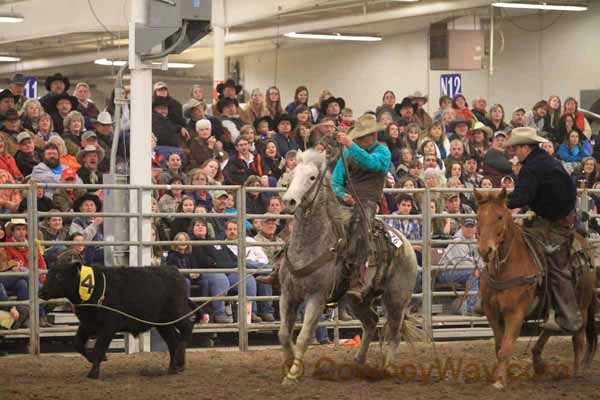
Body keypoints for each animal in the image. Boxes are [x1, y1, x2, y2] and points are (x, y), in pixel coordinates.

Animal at [278, 148, 414, 384]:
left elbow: (304, 336)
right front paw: (290, 361)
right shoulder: (288, 293)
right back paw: (358, 361)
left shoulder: (316, 297)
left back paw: (387, 368)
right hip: (356, 299)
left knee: (394, 333)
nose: (289, 201)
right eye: (293, 173)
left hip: (396, 299)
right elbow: (284, 334)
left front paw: (293, 373)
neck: (310, 246)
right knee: (371, 322)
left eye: (312, 177)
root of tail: (406, 244)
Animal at [474, 189, 596, 390]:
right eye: (478, 217)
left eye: (499, 216)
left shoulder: (515, 313)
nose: (486, 251)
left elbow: (506, 346)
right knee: (550, 328)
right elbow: (499, 346)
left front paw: (499, 380)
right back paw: (539, 364)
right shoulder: (492, 312)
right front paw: (501, 374)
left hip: (583, 305)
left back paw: (577, 372)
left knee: (577, 337)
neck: (505, 269)